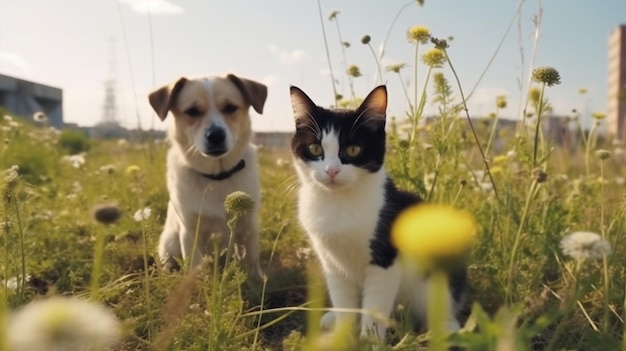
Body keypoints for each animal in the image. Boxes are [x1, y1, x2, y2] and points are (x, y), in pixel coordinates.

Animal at [148, 74, 266, 280]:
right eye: (192, 111)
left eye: (230, 107)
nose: (216, 135)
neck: (216, 177)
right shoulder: (190, 231)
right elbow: (194, 265)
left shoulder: (248, 224)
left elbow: (251, 259)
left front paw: (257, 281)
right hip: (170, 242)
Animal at [290, 84, 466, 344]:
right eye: (315, 148)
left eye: (353, 150)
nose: (331, 171)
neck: (337, 202)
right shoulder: (331, 262)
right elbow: (343, 300)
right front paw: (342, 335)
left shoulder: (385, 259)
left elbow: (375, 305)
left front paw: (370, 341)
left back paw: (447, 327)